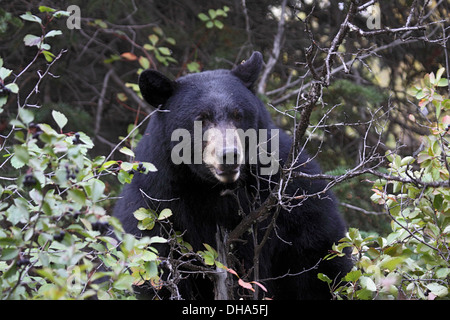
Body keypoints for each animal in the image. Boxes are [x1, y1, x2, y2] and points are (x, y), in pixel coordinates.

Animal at [113, 51, 352, 298]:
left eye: (238, 115)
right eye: (201, 118)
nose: (229, 154)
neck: (215, 189)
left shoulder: (295, 194)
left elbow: (318, 259)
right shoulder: (155, 205)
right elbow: (159, 274)